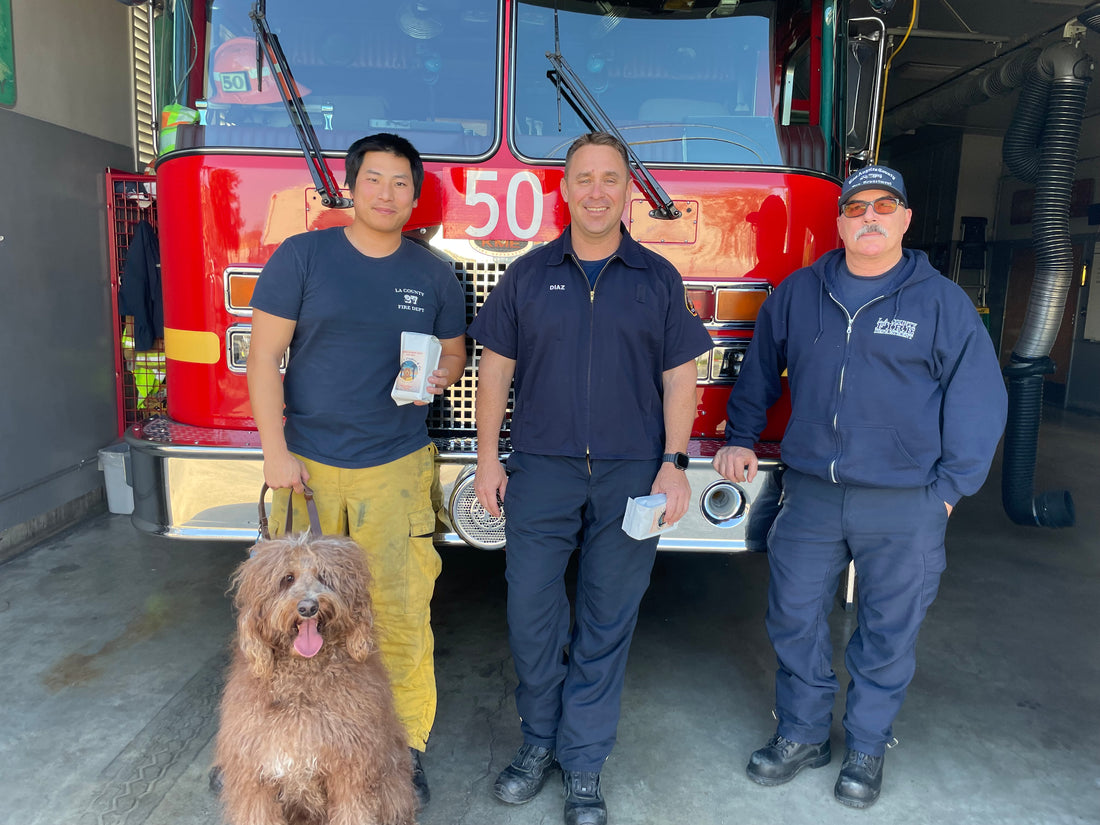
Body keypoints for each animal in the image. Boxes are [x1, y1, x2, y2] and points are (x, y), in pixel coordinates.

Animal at [214, 532, 415, 822]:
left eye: (324, 576)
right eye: (287, 578)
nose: (309, 607)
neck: (302, 687)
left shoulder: (351, 771)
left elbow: (353, 814)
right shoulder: (255, 780)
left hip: (392, 782)